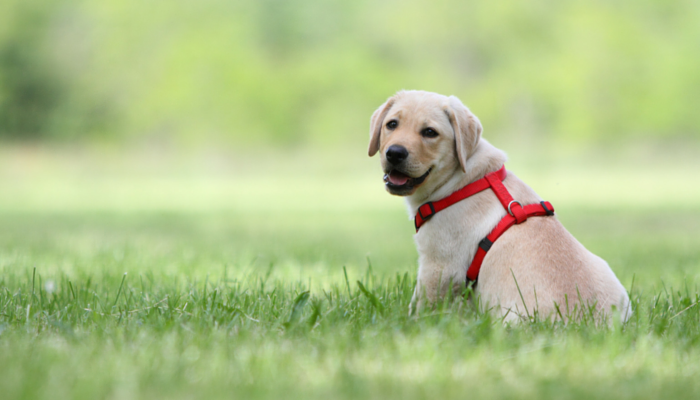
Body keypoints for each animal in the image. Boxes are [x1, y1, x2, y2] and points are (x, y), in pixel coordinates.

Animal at [370, 90, 632, 322]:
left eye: (430, 132)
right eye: (392, 124)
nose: (395, 153)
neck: (461, 181)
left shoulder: (438, 266)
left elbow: (420, 307)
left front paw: (409, 325)